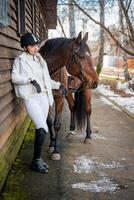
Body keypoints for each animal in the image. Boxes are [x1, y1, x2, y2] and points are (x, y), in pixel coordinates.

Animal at [39, 32, 99, 161]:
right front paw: (51, 145)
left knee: (88, 110)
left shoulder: (59, 98)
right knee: (73, 106)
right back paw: (71, 131)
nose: (96, 81)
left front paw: (56, 151)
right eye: (82, 56)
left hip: (86, 90)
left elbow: (57, 124)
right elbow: (49, 121)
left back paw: (88, 136)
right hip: (70, 92)